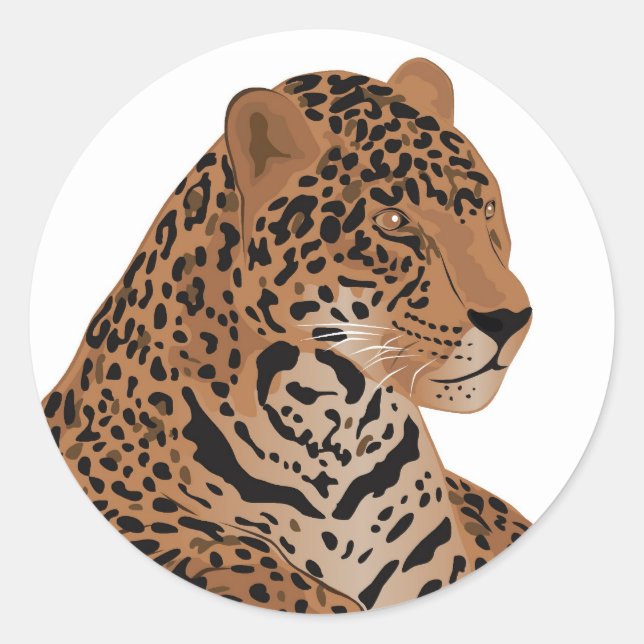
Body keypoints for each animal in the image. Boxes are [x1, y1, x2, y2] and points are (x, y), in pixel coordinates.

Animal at [42, 58, 533, 613]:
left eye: (488, 210)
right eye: (392, 221)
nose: (512, 319)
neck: (339, 427)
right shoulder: (153, 516)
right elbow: (274, 579)